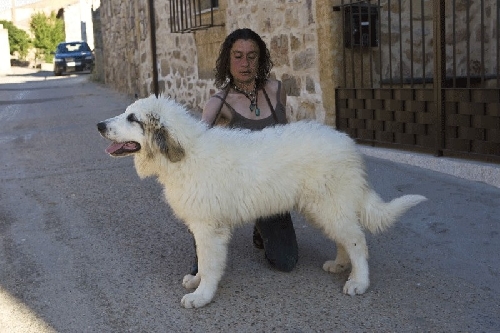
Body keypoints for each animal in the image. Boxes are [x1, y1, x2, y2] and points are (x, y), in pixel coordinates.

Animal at [97, 94, 426, 308]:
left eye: (132, 118)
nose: (100, 125)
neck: (185, 154)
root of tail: (350, 146)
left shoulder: (209, 227)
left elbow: (211, 261)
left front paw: (202, 295)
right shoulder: (202, 225)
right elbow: (202, 258)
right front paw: (197, 280)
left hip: (329, 203)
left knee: (357, 240)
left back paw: (359, 281)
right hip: (323, 207)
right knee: (346, 238)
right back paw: (340, 265)